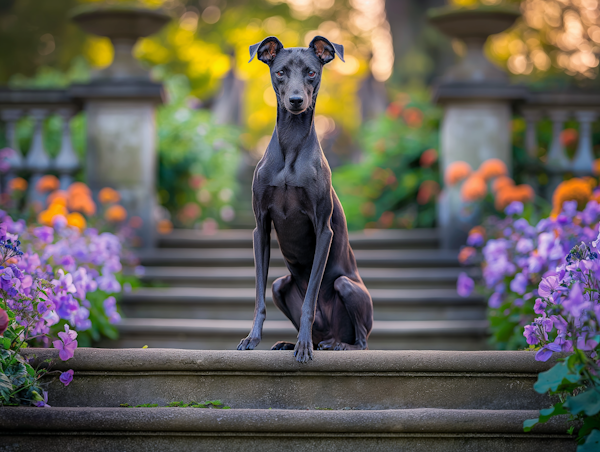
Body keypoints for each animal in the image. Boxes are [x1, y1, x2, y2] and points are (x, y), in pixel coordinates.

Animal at [238, 35, 370, 362]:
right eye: (280, 72)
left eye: (311, 72)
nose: (296, 101)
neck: (291, 145)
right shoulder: (261, 227)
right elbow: (259, 297)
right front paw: (252, 338)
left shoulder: (323, 229)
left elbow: (310, 299)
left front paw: (304, 346)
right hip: (280, 286)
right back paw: (291, 341)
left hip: (348, 286)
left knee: (362, 340)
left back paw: (334, 344)